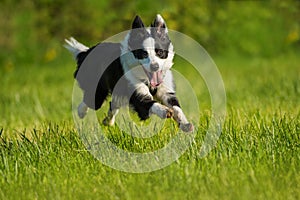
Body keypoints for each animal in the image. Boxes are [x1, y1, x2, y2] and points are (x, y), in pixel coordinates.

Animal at [64, 14, 193, 132]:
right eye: (143, 53)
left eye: (160, 52)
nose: (155, 66)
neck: (148, 80)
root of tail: (88, 51)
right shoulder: (136, 91)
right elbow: (150, 103)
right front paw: (164, 110)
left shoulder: (166, 90)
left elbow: (176, 107)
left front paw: (185, 124)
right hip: (98, 89)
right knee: (91, 101)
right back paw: (81, 112)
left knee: (113, 104)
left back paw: (108, 122)